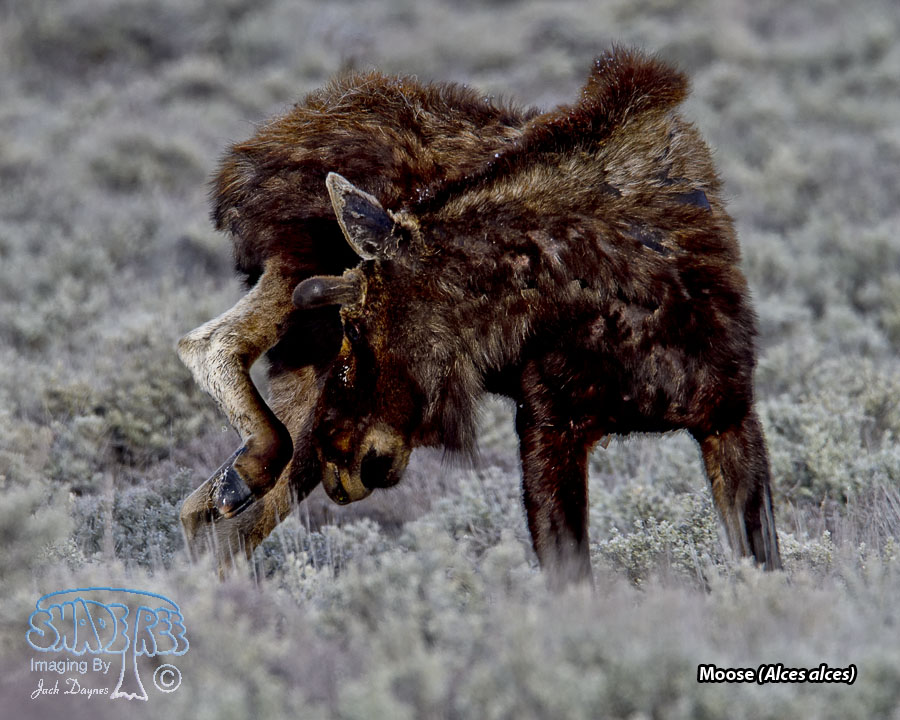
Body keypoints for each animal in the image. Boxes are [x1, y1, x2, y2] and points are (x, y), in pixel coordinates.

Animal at [179, 47, 782, 585]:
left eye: (358, 327)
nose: (340, 461)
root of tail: (246, 161)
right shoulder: (548, 425)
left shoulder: (730, 414)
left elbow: (765, 563)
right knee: (210, 359)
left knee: (211, 513)